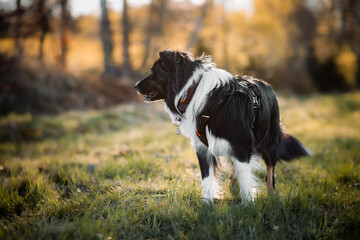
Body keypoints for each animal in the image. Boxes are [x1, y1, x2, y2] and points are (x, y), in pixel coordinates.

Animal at [134, 50, 310, 202]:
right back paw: (233, 189)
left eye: (152, 72)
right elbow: (207, 181)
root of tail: (267, 85)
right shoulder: (203, 149)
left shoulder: (242, 146)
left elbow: (247, 184)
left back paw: (272, 198)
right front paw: (206, 207)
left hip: (269, 141)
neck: (192, 91)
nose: (135, 86)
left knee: (269, 172)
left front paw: (248, 209)